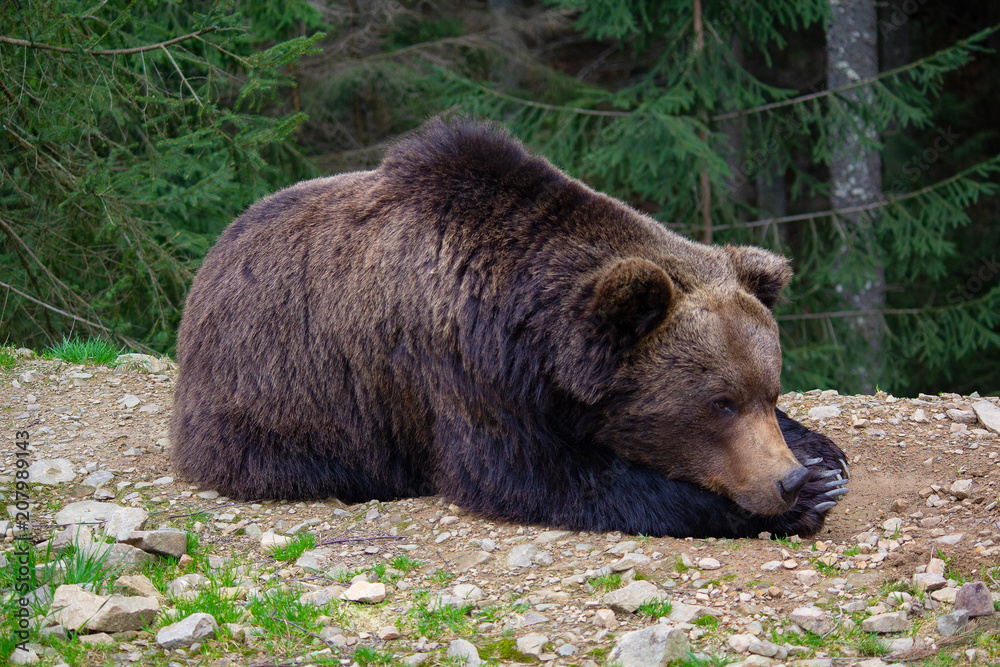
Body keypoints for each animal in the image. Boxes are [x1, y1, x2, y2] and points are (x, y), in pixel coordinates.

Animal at [170, 118, 844, 536]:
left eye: (768, 392)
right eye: (718, 403)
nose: (784, 481)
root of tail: (206, 266)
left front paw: (824, 460)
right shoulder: (458, 369)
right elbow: (528, 476)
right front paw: (795, 503)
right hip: (279, 398)